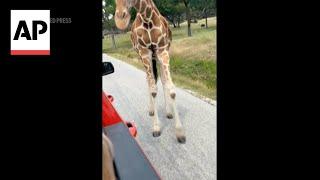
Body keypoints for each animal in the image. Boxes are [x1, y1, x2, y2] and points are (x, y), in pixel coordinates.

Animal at [114, 0, 185, 143]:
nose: (120, 19)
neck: (147, 17)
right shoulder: (145, 53)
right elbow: (153, 90)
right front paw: (156, 127)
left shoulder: (162, 51)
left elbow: (171, 88)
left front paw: (180, 132)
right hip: (143, 57)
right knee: (149, 81)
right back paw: (151, 110)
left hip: (156, 56)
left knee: (161, 80)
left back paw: (168, 112)